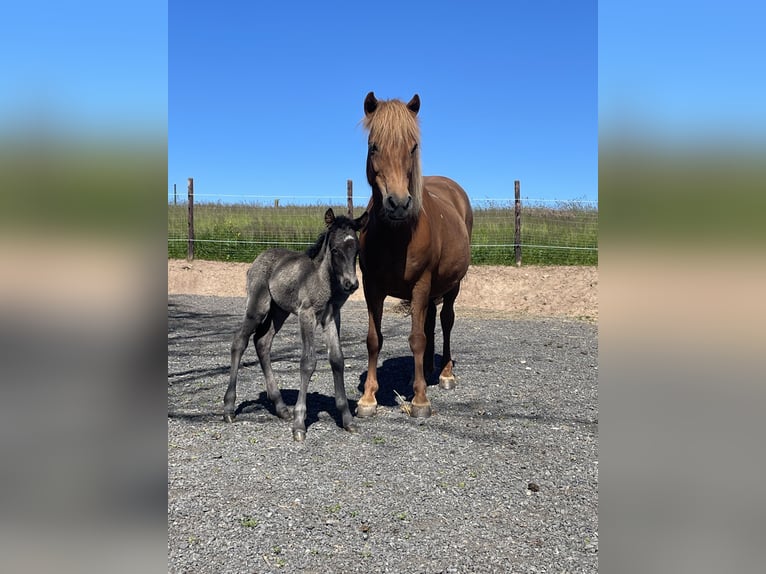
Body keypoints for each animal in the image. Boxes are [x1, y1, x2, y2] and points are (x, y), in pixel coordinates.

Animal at [224, 208, 369, 441]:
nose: (351, 284)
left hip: (279, 312)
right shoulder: (306, 314)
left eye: (356, 250)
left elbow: (337, 360)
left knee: (262, 342)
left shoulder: (331, 316)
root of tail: (257, 259)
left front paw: (347, 420)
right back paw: (229, 408)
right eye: (335, 250)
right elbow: (308, 362)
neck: (323, 279)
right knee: (239, 341)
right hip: (258, 307)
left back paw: (281, 407)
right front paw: (300, 424)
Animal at [357, 91, 473, 419]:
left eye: (413, 147)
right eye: (374, 146)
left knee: (445, 320)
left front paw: (420, 399)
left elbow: (417, 339)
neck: (397, 235)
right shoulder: (372, 287)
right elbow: (374, 339)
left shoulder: (421, 284)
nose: (398, 203)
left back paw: (445, 373)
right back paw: (425, 370)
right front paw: (368, 398)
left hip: (452, 284)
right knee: (430, 319)